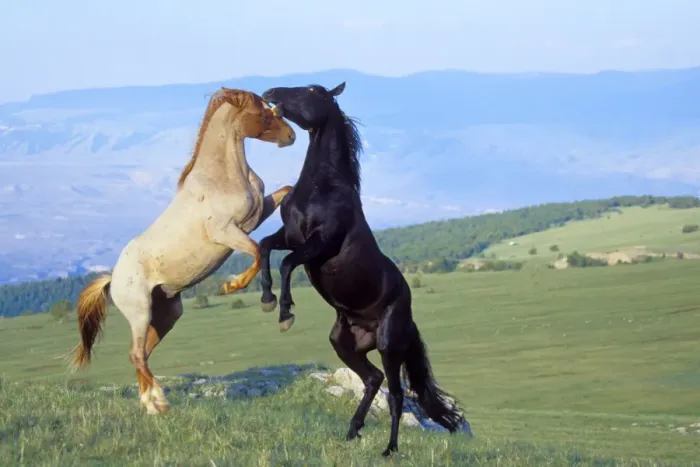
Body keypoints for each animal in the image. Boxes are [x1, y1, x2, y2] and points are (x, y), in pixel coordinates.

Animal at [70, 88, 296, 415]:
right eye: (262, 113)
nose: (290, 136)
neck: (223, 178)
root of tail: (113, 279)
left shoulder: (256, 216)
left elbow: (285, 197)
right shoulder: (226, 232)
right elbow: (256, 252)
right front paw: (232, 287)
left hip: (167, 314)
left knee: (140, 354)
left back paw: (149, 405)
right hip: (140, 312)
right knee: (137, 354)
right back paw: (160, 402)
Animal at [238, 82, 468, 456]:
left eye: (310, 91)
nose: (271, 91)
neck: (321, 188)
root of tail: (408, 319)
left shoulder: (319, 243)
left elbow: (286, 262)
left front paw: (285, 313)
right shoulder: (290, 235)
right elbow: (265, 247)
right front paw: (267, 299)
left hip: (390, 347)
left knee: (396, 394)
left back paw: (389, 449)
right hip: (343, 343)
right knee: (373, 379)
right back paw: (352, 430)